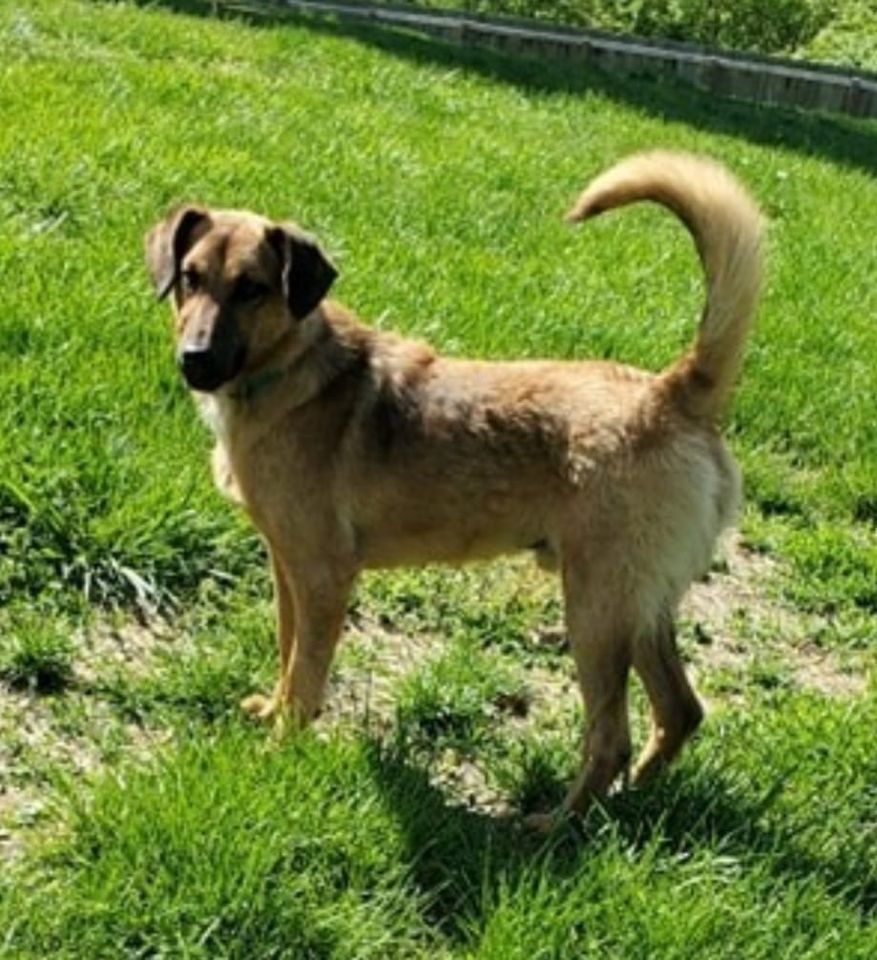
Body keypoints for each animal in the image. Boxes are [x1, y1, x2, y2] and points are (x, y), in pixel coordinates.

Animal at [144, 150, 760, 824]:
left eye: (253, 288)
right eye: (190, 278)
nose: (194, 360)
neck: (287, 370)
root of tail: (671, 393)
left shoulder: (323, 575)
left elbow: (307, 674)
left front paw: (281, 749)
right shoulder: (288, 567)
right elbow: (287, 652)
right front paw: (273, 713)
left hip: (596, 609)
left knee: (611, 737)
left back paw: (555, 824)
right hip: (640, 605)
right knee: (680, 710)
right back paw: (630, 801)